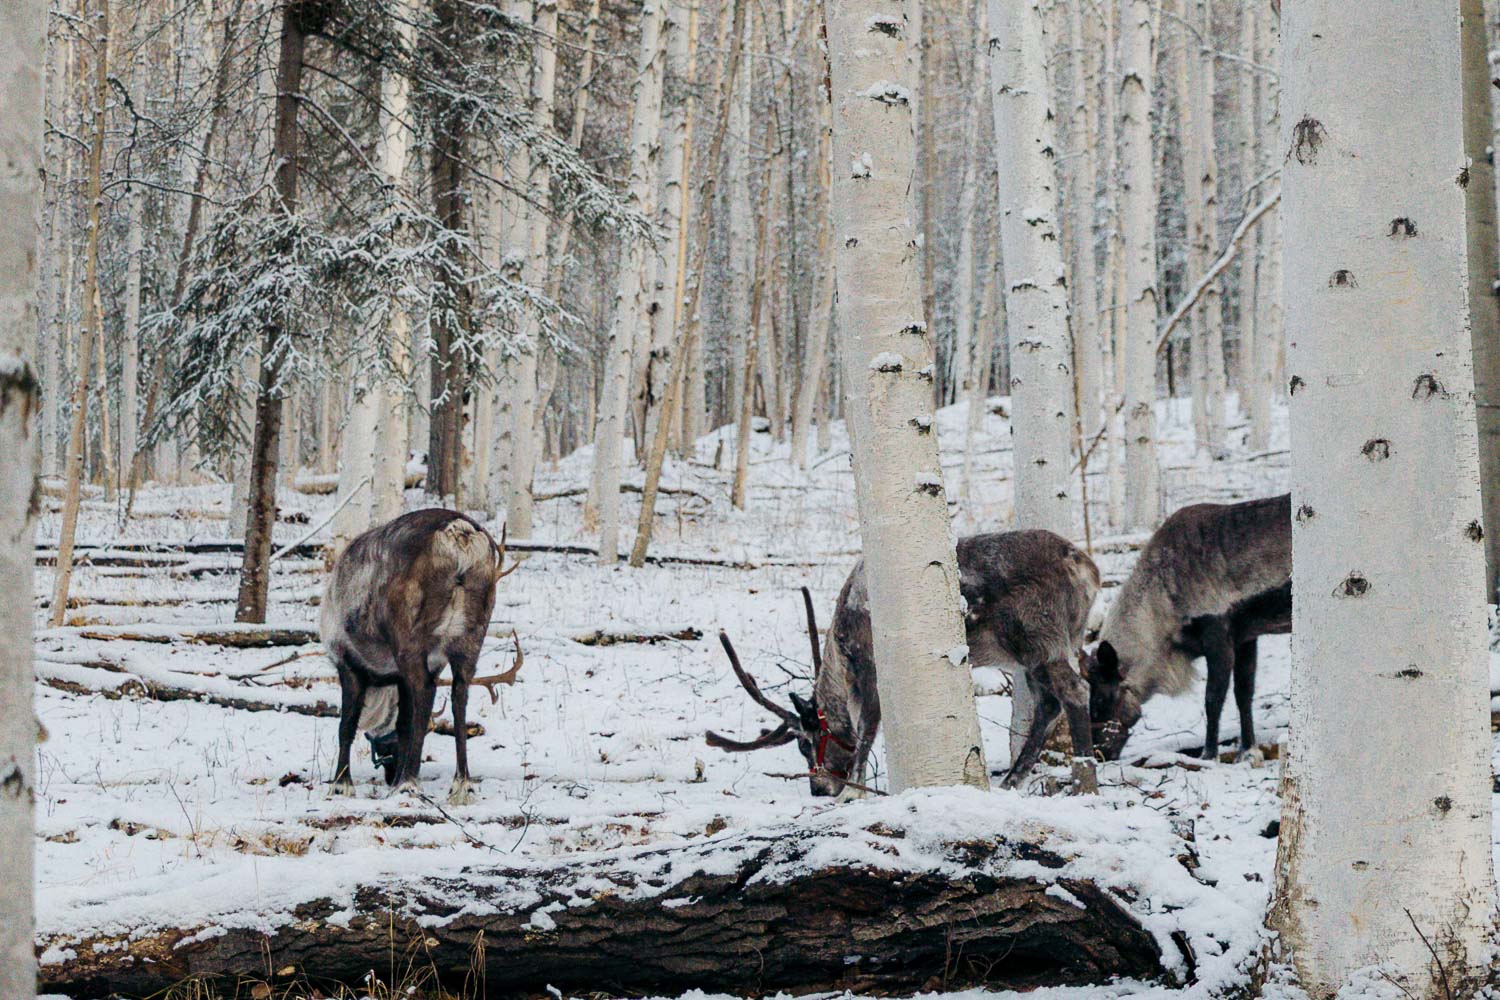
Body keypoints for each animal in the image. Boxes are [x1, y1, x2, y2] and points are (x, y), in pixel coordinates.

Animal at [320, 508, 520, 803]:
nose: (390, 774)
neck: (381, 685)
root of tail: (458, 533)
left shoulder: (346, 660)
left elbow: (346, 725)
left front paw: (341, 784)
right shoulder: (408, 673)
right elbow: (405, 724)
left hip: (410, 638)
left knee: (426, 692)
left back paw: (409, 783)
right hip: (472, 637)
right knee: (459, 695)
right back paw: (461, 783)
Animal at [706, 530, 1101, 796]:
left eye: (805, 742)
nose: (819, 790)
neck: (842, 649)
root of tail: (1089, 570)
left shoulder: (870, 669)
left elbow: (866, 730)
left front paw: (855, 790)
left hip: (1043, 639)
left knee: (1076, 691)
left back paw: (1085, 781)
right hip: (1033, 653)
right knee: (1048, 704)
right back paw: (1011, 781)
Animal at [1082, 493, 1291, 762]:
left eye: (1099, 698)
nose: (1098, 753)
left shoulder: (1218, 637)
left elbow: (1212, 700)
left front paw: (1208, 754)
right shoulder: (1246, 638)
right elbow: (1244, 694)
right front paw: (1248, 750)